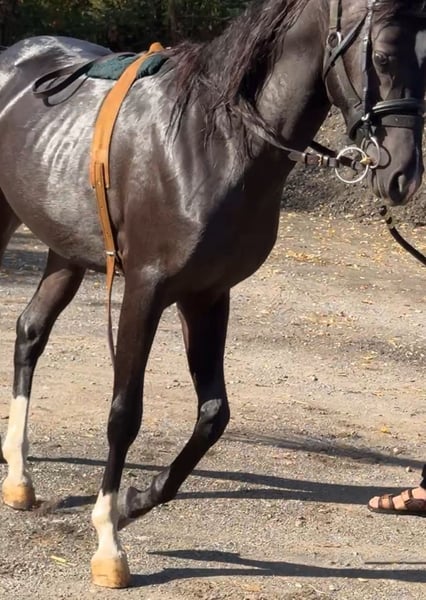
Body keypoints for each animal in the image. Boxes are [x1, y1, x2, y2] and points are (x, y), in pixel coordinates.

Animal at [0, 0, 425, 589]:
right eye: (382, 56)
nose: (404, 173)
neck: (211, 142)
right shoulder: (145, 291)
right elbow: (124, 413)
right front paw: (109, 540)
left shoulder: (206, 295)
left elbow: (213, 415)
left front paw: (136, 500)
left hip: (66, 251)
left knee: (30, 332)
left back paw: (19, 478)